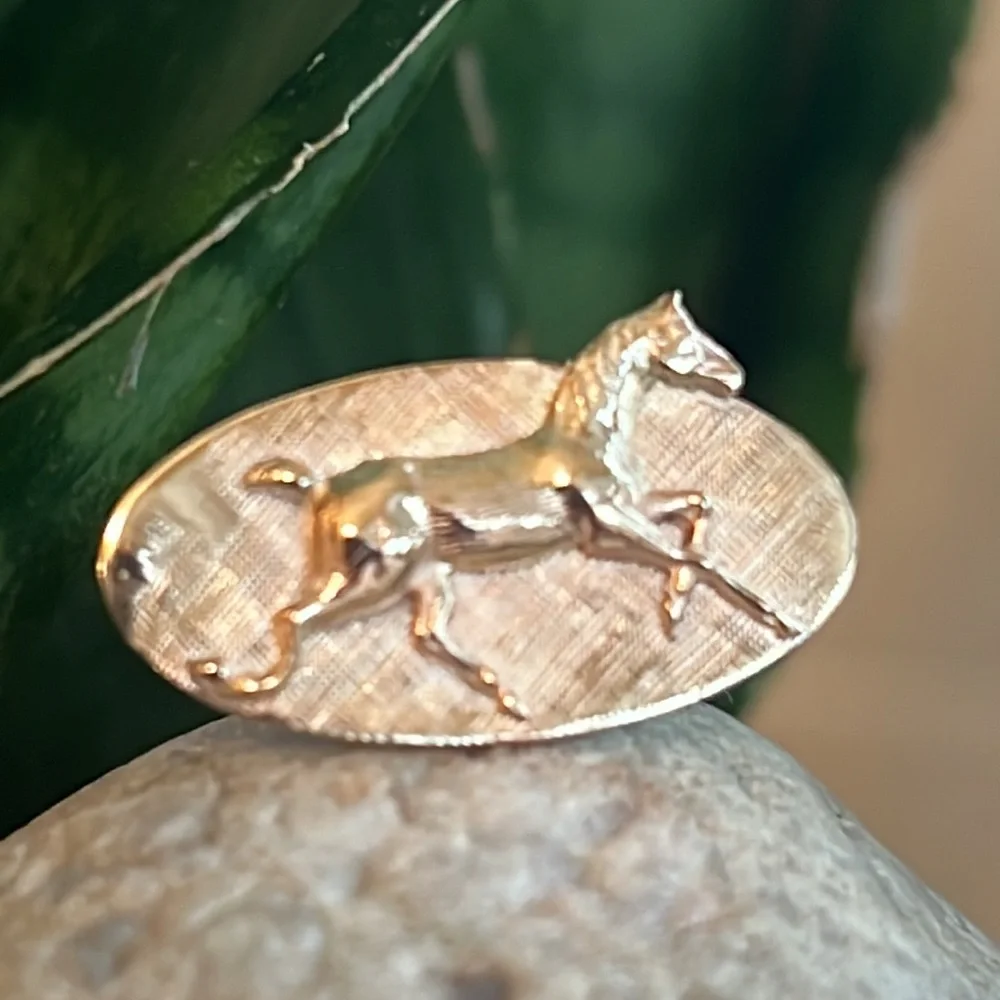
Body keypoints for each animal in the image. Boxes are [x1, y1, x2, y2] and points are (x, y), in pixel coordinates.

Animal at [190, 292, 799, 718]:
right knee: (291, 618)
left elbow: (696, 512)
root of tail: (319, 489)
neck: (585, 439)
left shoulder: (619, 520)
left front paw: (673, 609)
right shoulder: (609, 523)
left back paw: (508, 699)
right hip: (371, 579)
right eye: (688, 339)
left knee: (424, 636)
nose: (736, 376)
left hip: (425, 578)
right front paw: (777, 620)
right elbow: (697, 558)